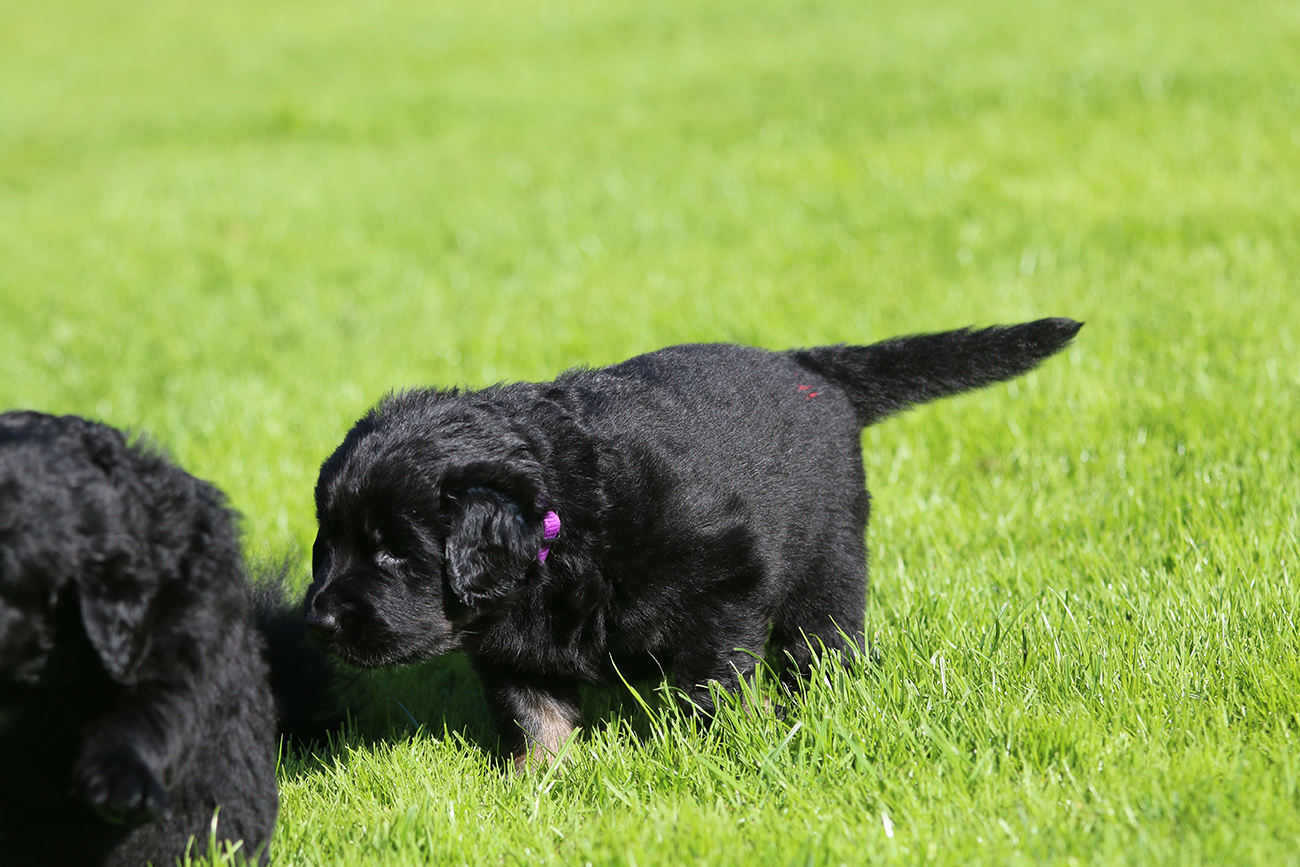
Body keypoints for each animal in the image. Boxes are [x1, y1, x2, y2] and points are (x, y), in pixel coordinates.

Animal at [304, 319, 1081, 769]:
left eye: (394, 553)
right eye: (326, 545)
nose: (319, 620)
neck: (565, 525)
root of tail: (811, 368)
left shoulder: (727, 579)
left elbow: (707, 680)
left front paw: (716, 744)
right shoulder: (509, 643)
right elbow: (534, 715)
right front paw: (541, 782)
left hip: (827, 561)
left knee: (824, 641)